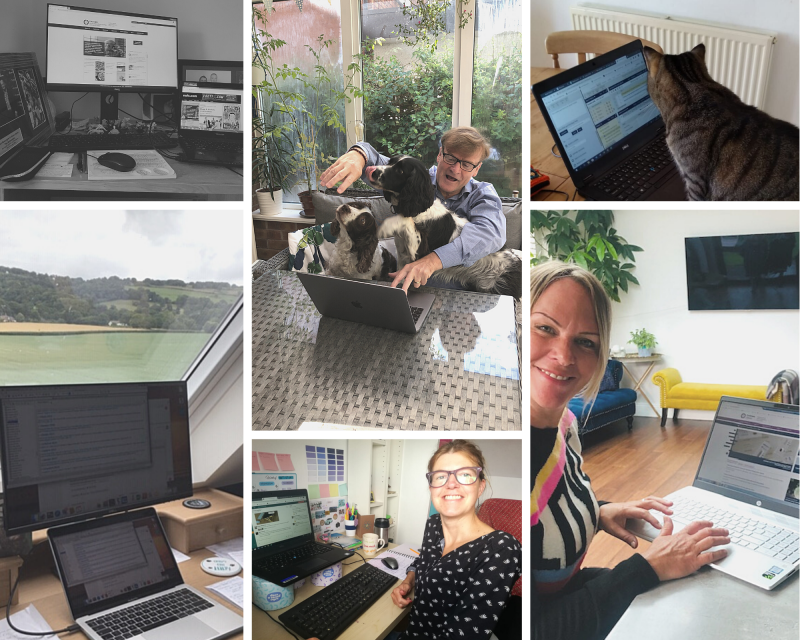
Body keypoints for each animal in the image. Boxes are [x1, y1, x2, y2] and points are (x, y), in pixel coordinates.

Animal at [366, 155, 520, 298]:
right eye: (390, 162)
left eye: (400, 170)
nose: (373, 171)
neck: (420, 209)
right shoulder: (403, 258)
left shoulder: (419, 251)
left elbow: (406, 220)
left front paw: (384, 228)